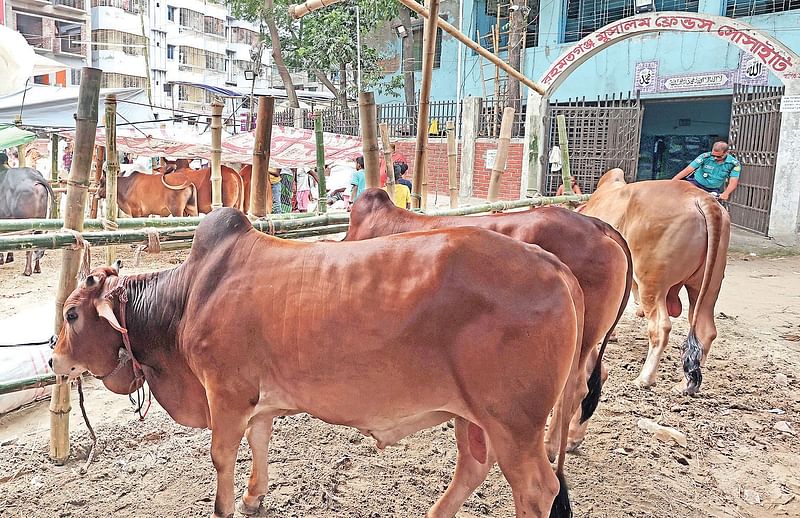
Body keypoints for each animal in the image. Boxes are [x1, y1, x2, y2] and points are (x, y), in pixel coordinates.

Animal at [51, 207, 588, 518]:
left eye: (72, 312)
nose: (54, 359)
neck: (185, 298)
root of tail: (555, 267)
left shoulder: (225, 392)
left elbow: (222, 456)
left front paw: (227, 505)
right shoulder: (257, 399)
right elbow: (260, 441)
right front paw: (253, 497)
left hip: (514, 422)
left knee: (536, 489)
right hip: (474, 416)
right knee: (473, 469)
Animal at [580, 169, 732, 396]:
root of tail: (702, 198)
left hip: (651, 283)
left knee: (661, 328)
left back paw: (644, 379)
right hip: (707, 286)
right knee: (706, 330)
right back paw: (685, 385)